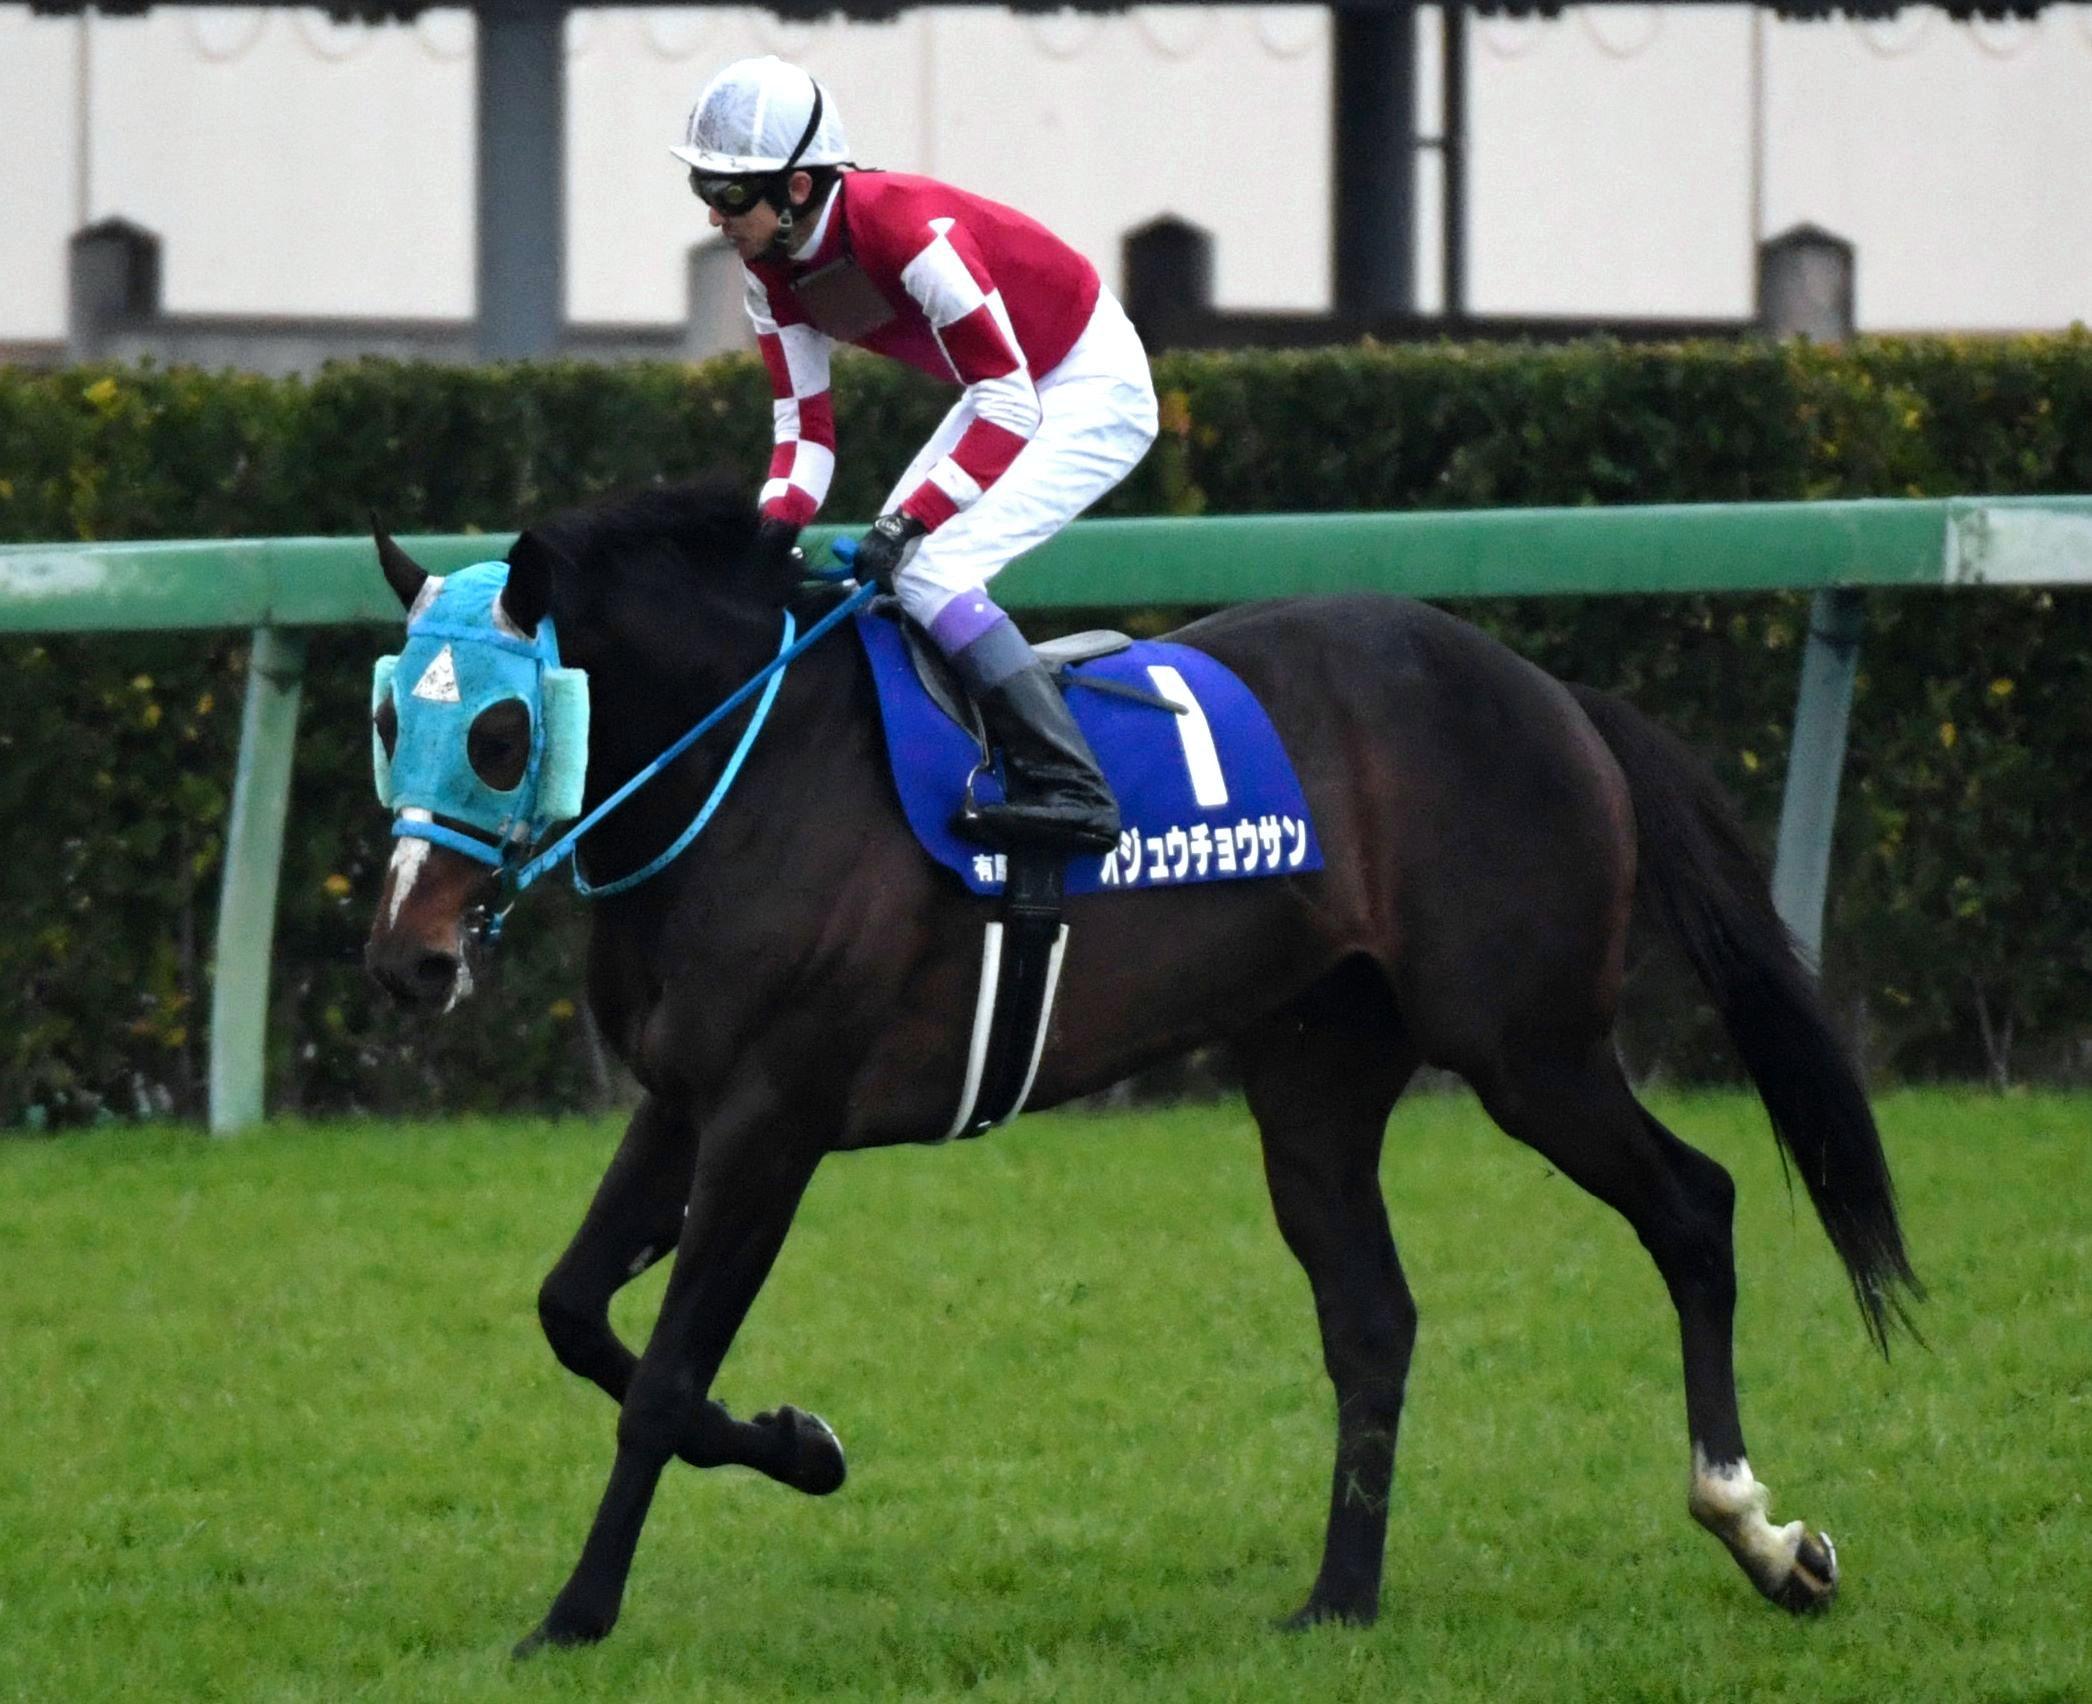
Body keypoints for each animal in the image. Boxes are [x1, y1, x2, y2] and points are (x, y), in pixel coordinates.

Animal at [364, 480, 1916, 1655]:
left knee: (1694, 1207)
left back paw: (1758, 1531)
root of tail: (1553, 693)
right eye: (391, 720)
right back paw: (1339, 1601)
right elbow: (574, 1313)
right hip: (1314, 1076)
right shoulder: (686, 1102)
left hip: (1528, 1047)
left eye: (497, 730)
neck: (746, 771)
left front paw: (575, 1614)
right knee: (1374, 1317)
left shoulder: (772, 1118)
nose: (407, 958)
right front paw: (802, 1445)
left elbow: (667, 1373)